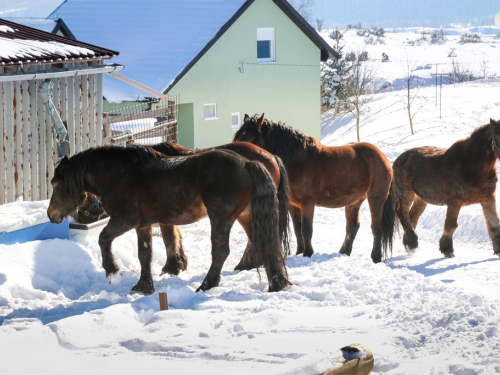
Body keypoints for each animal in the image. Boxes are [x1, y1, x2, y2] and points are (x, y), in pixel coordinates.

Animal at [234, 114, 394, 264]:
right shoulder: (293, 205)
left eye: (250, 138)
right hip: (354, 201)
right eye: (237, 137)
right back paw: (343, 252)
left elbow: (306, 229)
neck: (298, 160)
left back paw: (376, 257)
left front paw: (308, 253)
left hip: (376, 197)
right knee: (352, 227)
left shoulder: (307, 203)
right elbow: (297, 229)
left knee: (376, 226)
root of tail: (382, 157)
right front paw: (299, 253)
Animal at [392, 119, 500, 258]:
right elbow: (450, 225)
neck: (471, 165)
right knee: (403, 214)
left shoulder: (488, 198)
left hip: (420, 199)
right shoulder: (455, 202)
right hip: (405, 194)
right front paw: (447, 249)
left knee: (413, 216)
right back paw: (412, 243)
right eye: (496, 138)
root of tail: (399, 160)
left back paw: (408, 243)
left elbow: (494, 224)